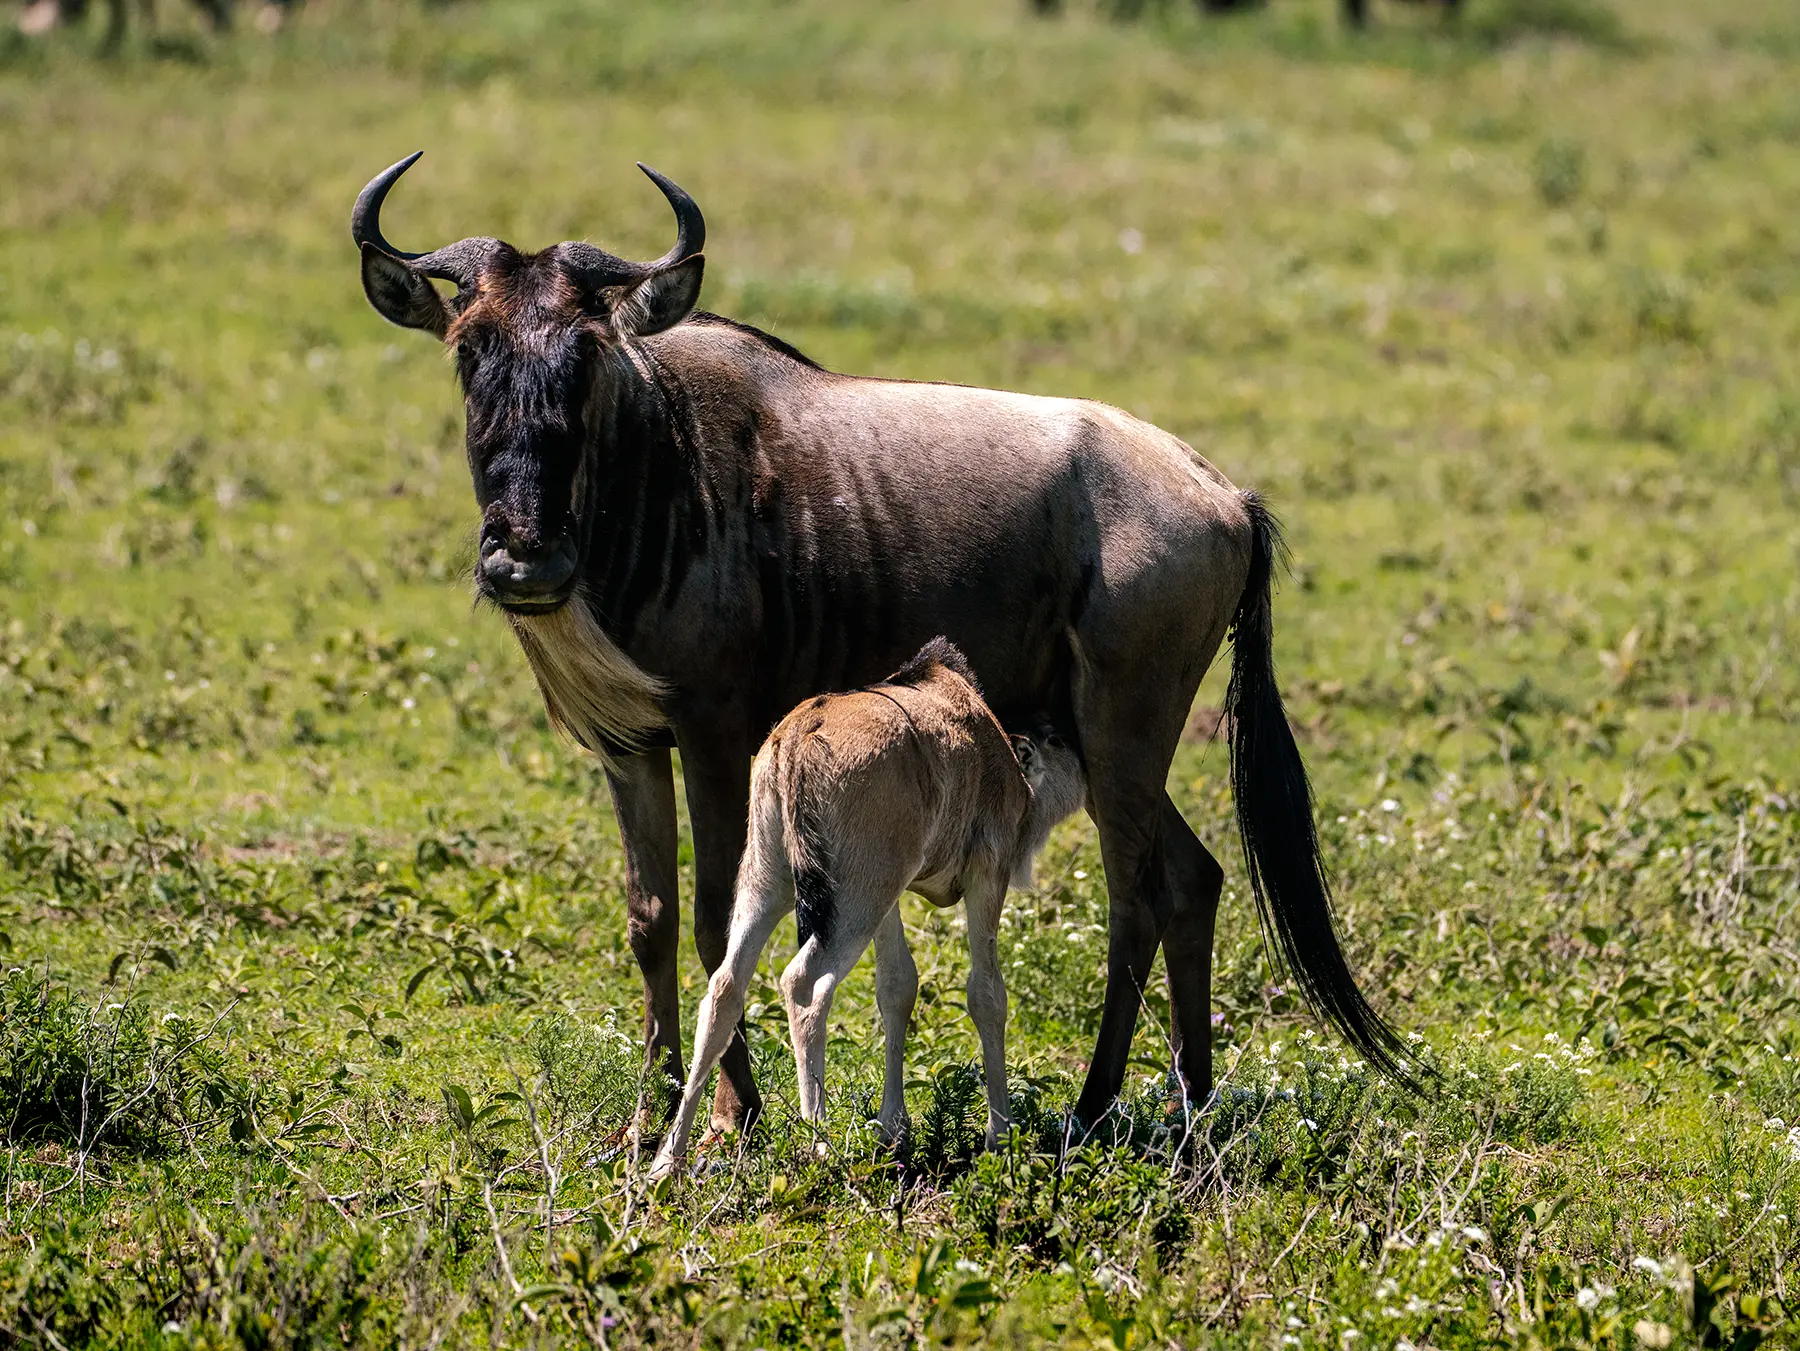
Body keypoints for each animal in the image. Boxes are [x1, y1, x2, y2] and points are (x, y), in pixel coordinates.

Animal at [350, 153, 1410, 1138]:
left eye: (587, 356)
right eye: (468, 351)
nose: (525, 556)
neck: (650, 467)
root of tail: (1225, 494)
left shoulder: (715, 730)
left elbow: (713, 917)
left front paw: (737, 1114)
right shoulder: (628, 744)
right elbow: (650, 919)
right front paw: (650, 1110)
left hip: (1125, 729)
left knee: (1139, 894)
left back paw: (1093, 1105)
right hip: (1097, 734)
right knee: (1193, 879)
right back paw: (1189, 1103)